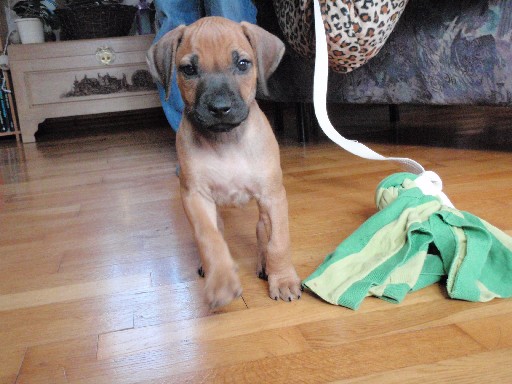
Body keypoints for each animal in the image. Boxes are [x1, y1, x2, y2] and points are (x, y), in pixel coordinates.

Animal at [146, 16, 302, 308]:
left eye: (242, 64)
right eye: (189, 69)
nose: (219, 108)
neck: (226, 142)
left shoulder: (273, 196)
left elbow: (278, 242)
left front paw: (284, 279)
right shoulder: (195, 196)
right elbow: (209, 238)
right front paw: (221, 281)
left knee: (262, 232)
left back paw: (265, 265)